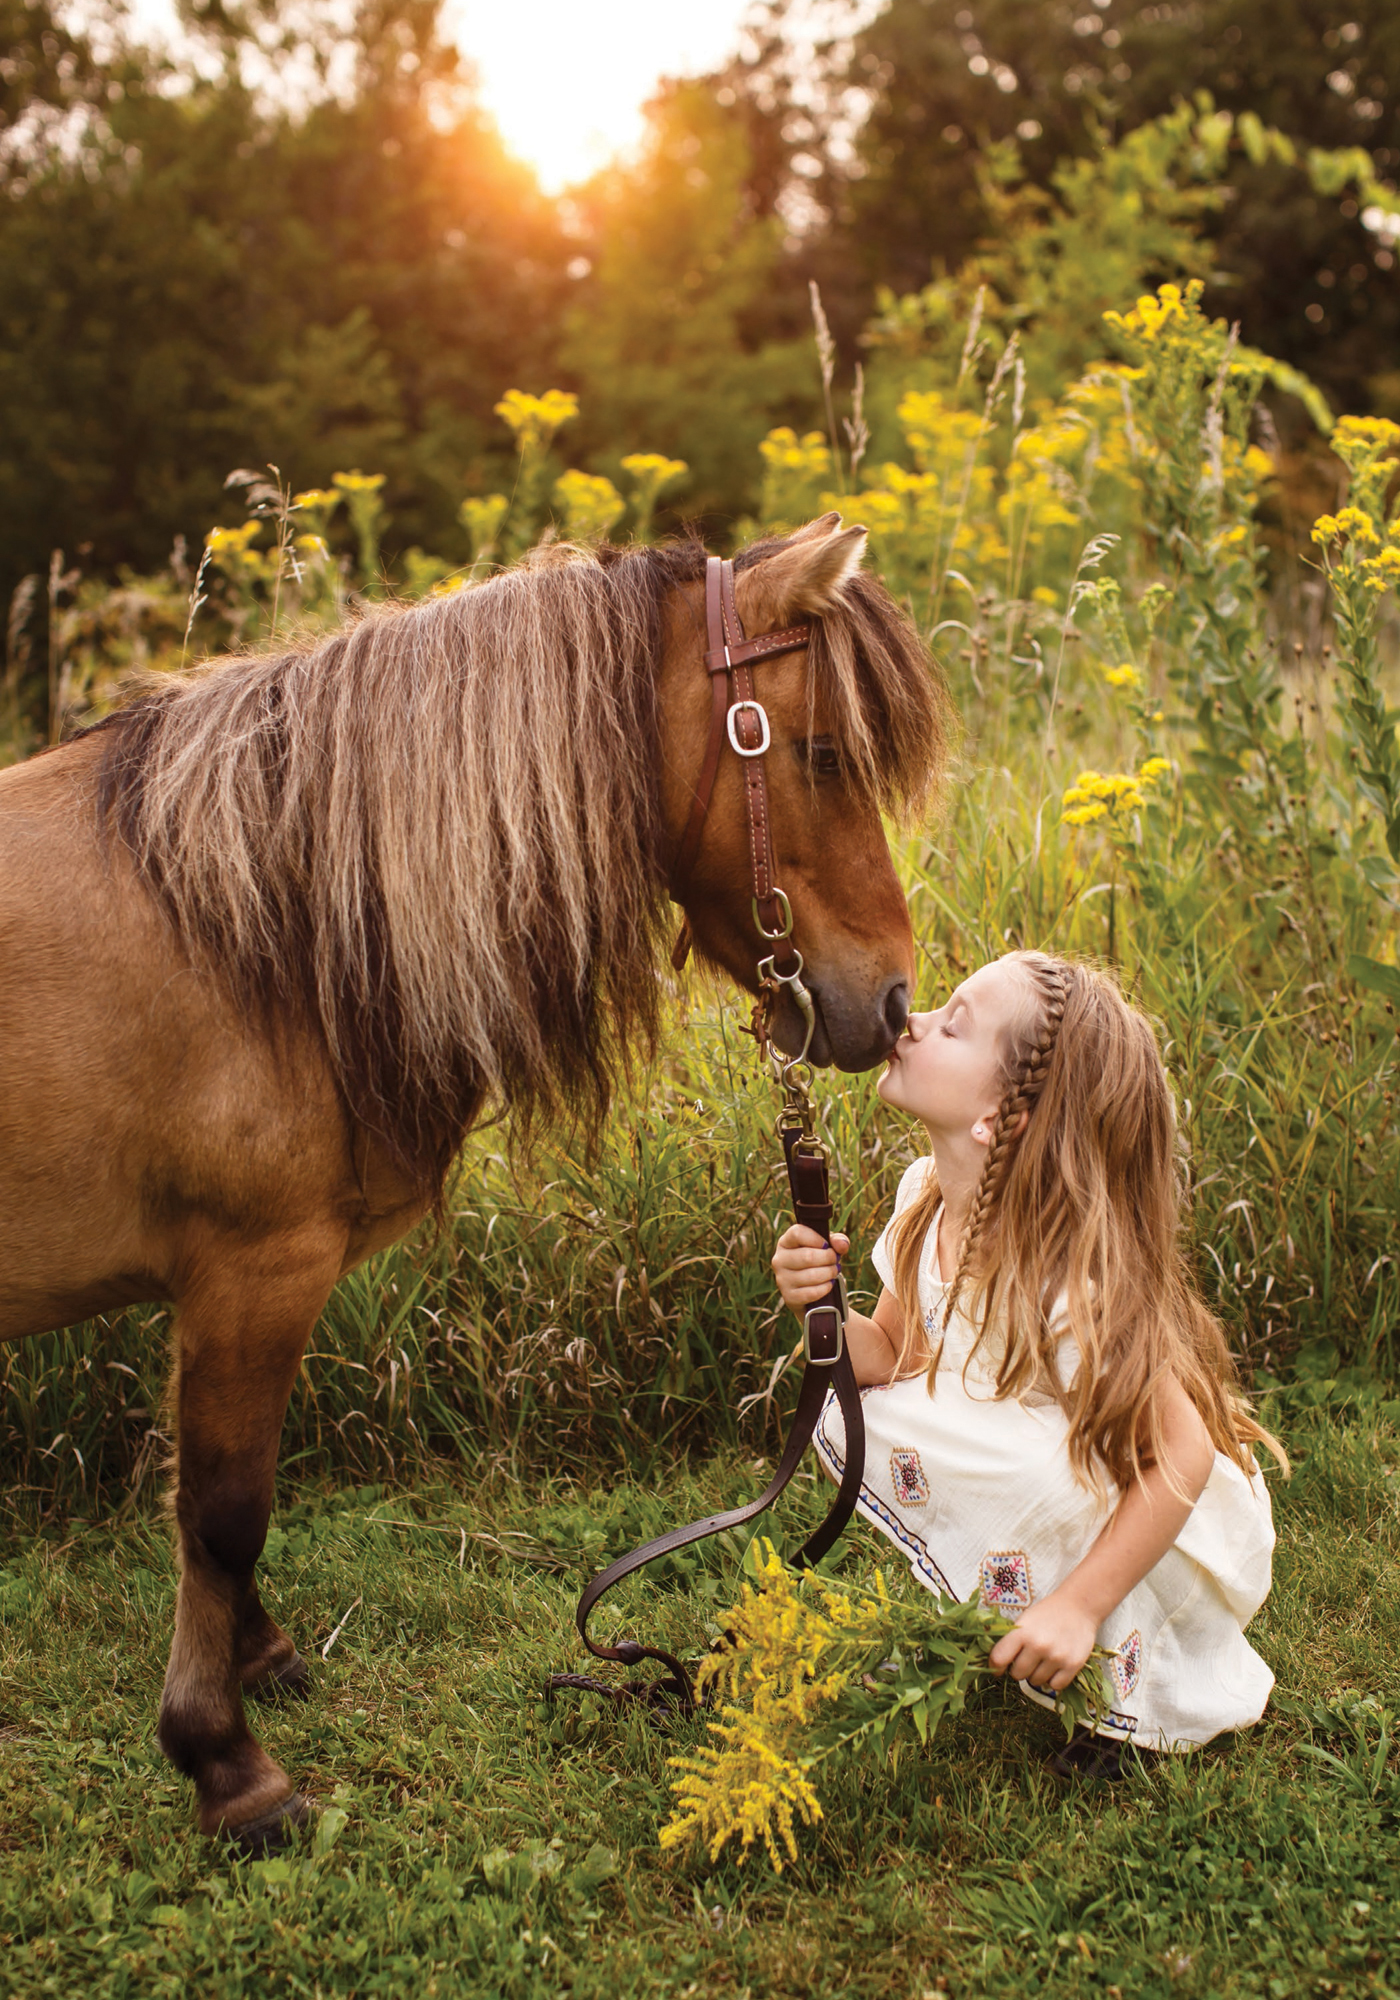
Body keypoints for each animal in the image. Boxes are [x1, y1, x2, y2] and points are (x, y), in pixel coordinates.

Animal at [0, 512, 952, 1840]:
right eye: (816, 752)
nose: (896, 1000)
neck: (252, 923)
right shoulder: (251, 1271)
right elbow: (224, 1507)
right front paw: (227, 1763)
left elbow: (209, 1501)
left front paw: (256, 1659)